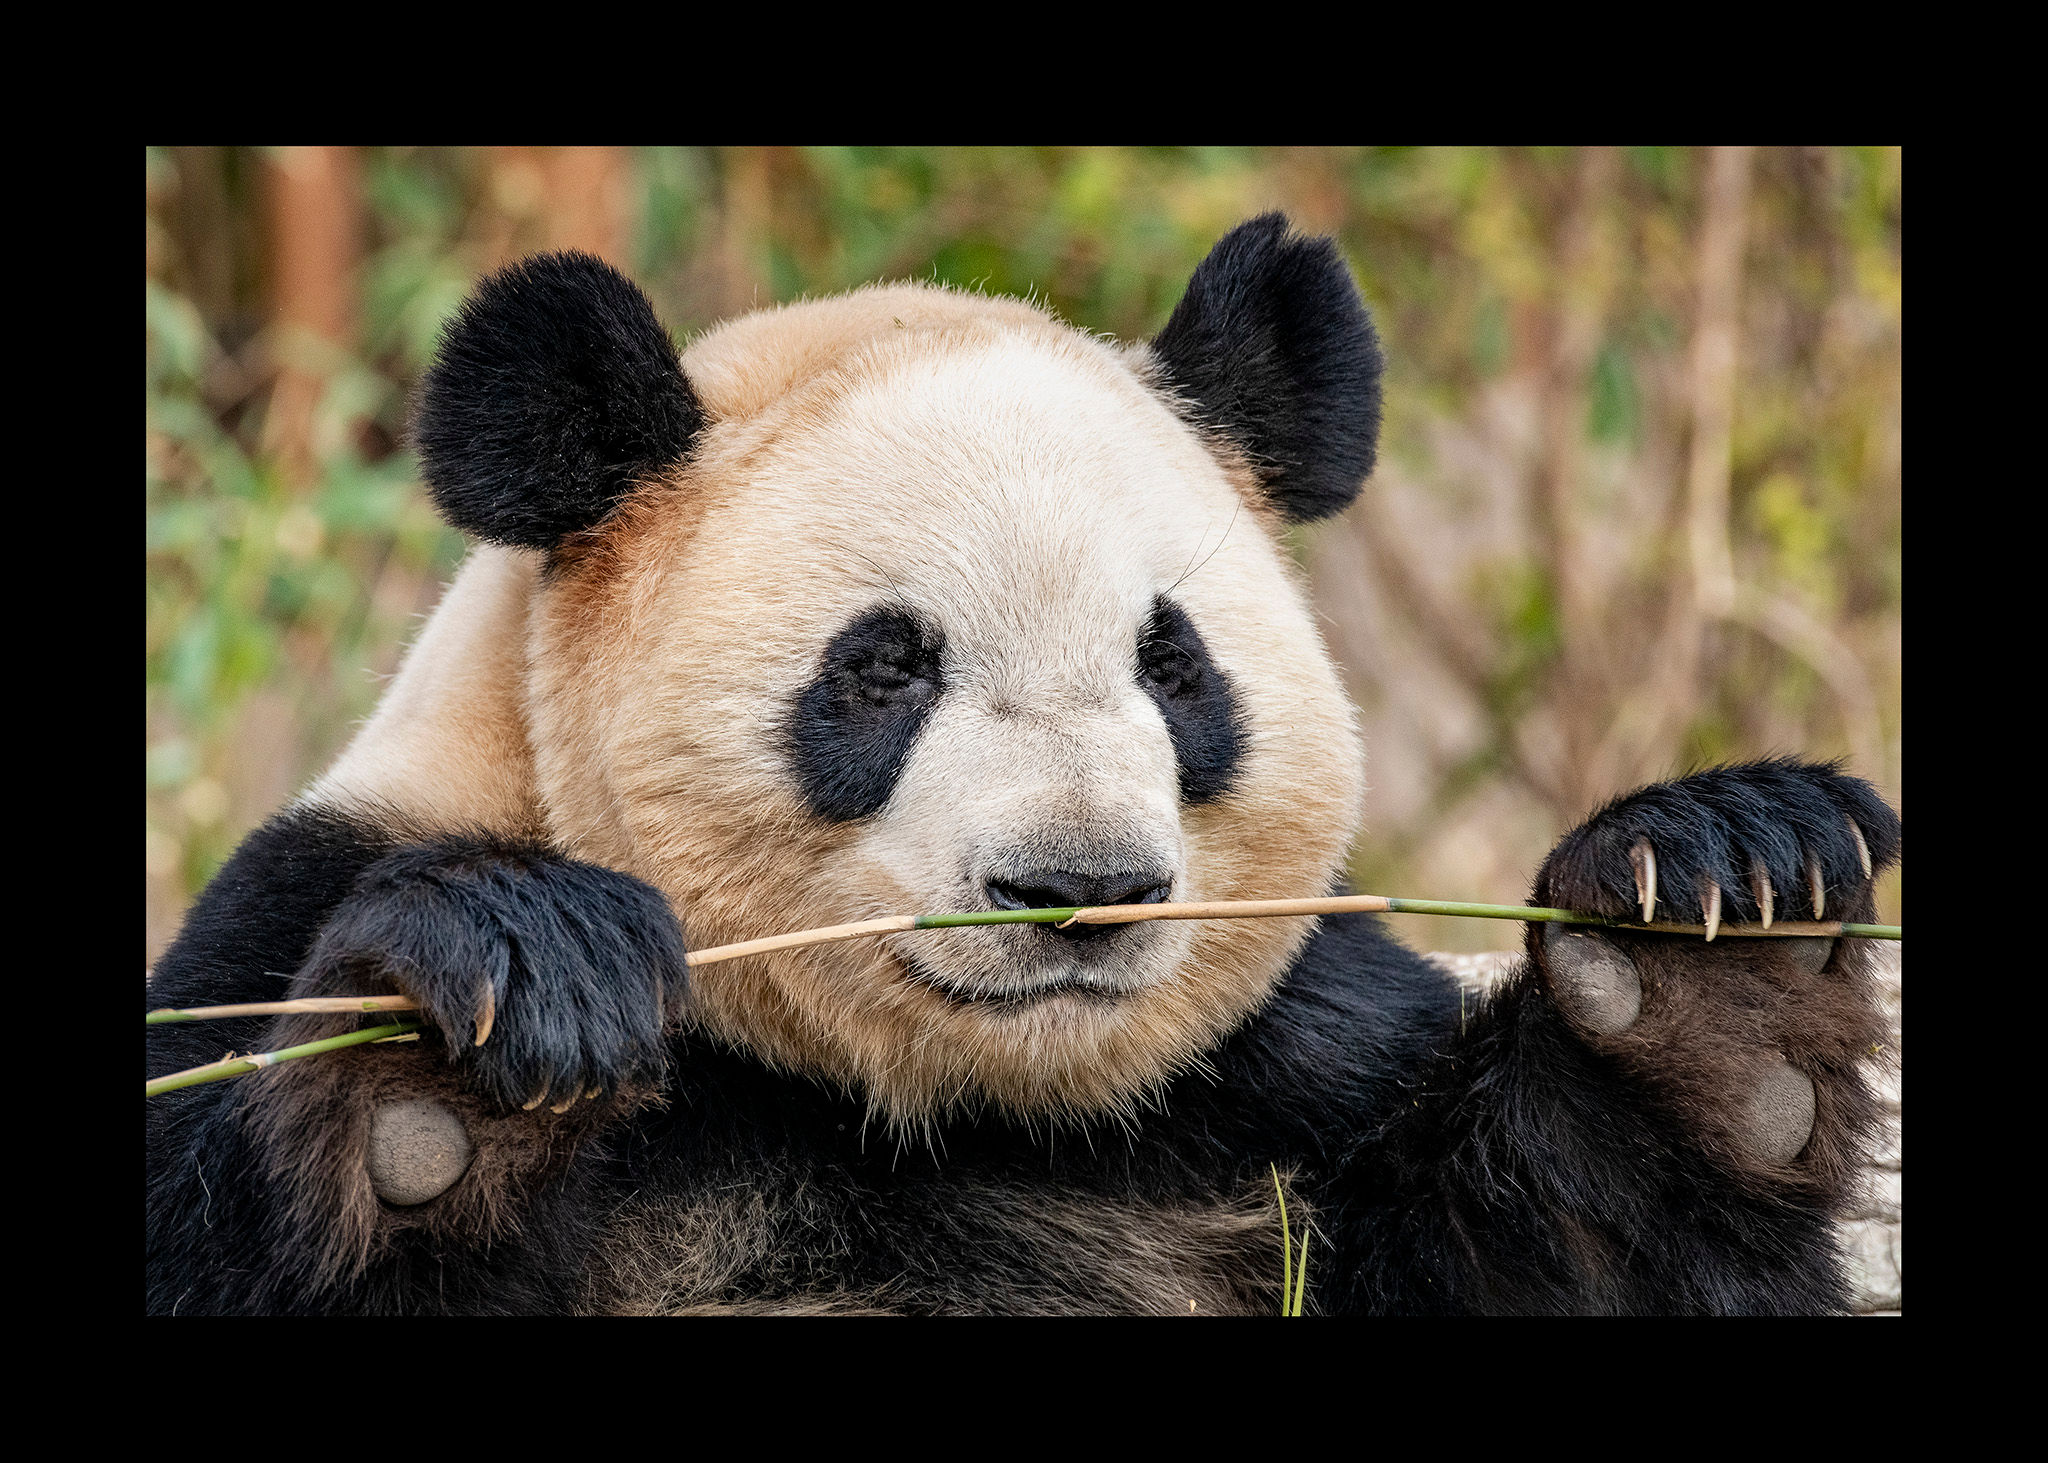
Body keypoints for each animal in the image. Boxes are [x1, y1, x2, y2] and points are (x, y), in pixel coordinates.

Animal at [146, 214, 1900, 1315]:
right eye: (883, 668)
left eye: (1174, 666)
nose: (1082, 886)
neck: (954, 1112)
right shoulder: (291, 901)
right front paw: (471, 1042)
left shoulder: (1288, 1066)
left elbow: (1560, 1255)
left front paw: (1719, 940)